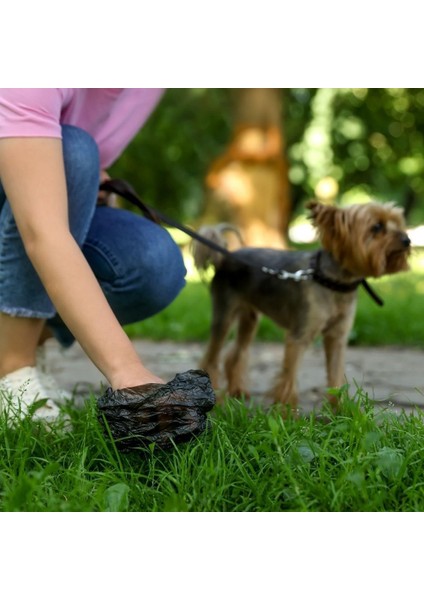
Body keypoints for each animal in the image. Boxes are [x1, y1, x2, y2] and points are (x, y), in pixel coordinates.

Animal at [192, 202, 410, 412]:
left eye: (399, 223)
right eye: (377, 227)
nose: (407, 239)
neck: (333, 282)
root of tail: (225, 256)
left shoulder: (337, 338)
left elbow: (336, 376)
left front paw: (341, 410)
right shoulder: (298, 337)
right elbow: (289, 376)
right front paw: (287, 412)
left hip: (250, 319)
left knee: (236, 354)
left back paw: (237, 391)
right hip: (224, 315)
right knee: (211, 357)